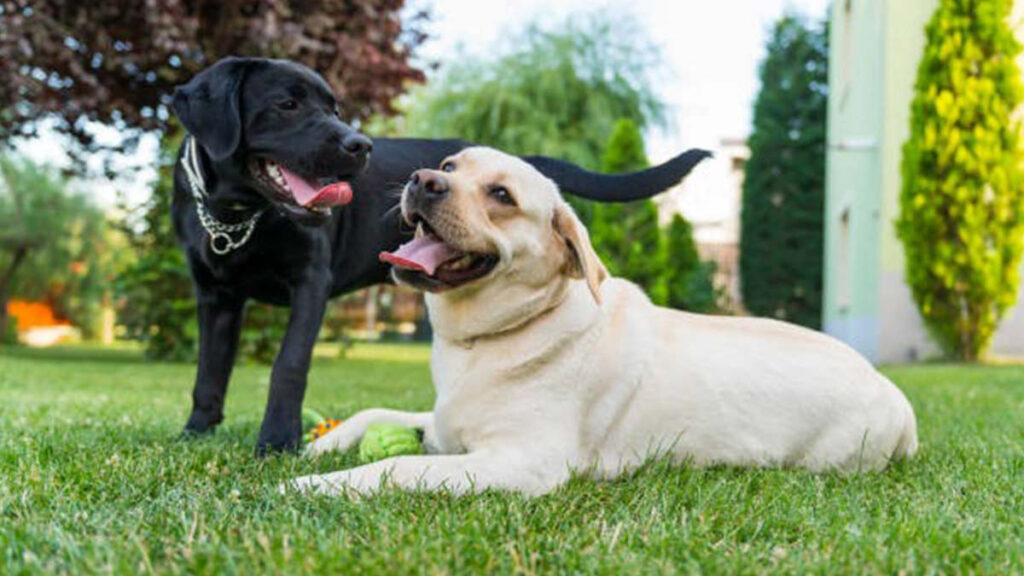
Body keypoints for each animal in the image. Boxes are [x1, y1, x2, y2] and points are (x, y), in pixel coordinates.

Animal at [169, 58, 712, 453]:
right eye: (286, 104)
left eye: (334, 108)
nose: (360, 144)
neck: (238, 214)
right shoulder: (215, 296)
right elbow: (209, 370)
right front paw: (196, 431)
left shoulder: (310, 283)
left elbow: (288, 365)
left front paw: (276, 441)